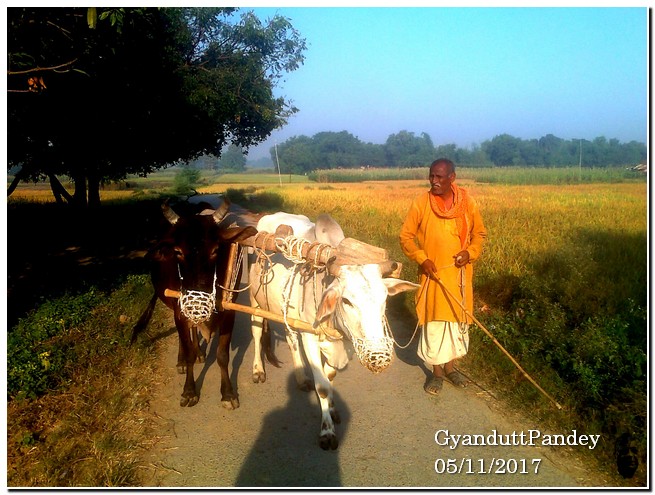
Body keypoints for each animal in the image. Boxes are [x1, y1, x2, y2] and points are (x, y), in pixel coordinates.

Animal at [131, 198, 257, 409]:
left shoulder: (229, 312)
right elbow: (187, 347)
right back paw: (182, 360)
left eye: (215, 250)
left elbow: (223, 355)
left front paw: (228, 393)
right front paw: (189, 391)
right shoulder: (180, 310)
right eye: (178, 251)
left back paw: (199, 351)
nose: (197, 297)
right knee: (184, 336)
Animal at [248, 212, 419, 449]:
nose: (379, 357)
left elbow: (330, 376)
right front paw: (327, 431)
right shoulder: (310, 336)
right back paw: (258, 370)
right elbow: (322, 386)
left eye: (385, 299)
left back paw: (301, 378)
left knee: (291, 339)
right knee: (256, 332)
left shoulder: (346, 342)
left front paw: (333, 408)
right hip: (255, 301)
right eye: (346, 300)